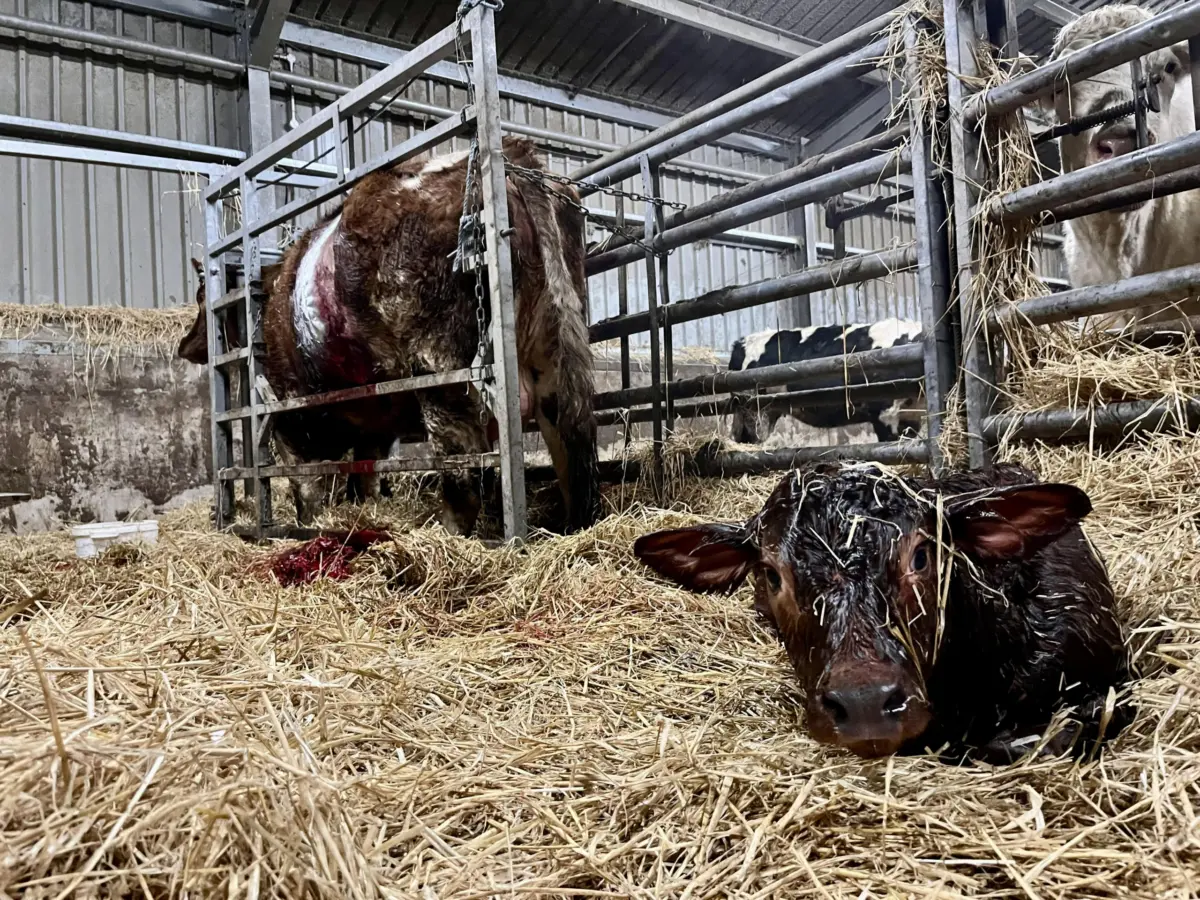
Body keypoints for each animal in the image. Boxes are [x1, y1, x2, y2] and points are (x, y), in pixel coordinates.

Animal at [178, 137, 600, 535]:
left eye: (200, 298)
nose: (185, 345)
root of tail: (512, 154)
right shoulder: (373, 425)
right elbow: (364, 478)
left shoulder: (289, 409)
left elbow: (307, 484)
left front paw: (307, 524)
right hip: (556, 347)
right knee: (571, 441)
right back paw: (571, 524)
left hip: (440, 366)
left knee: (464, 465)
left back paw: (444, 532)